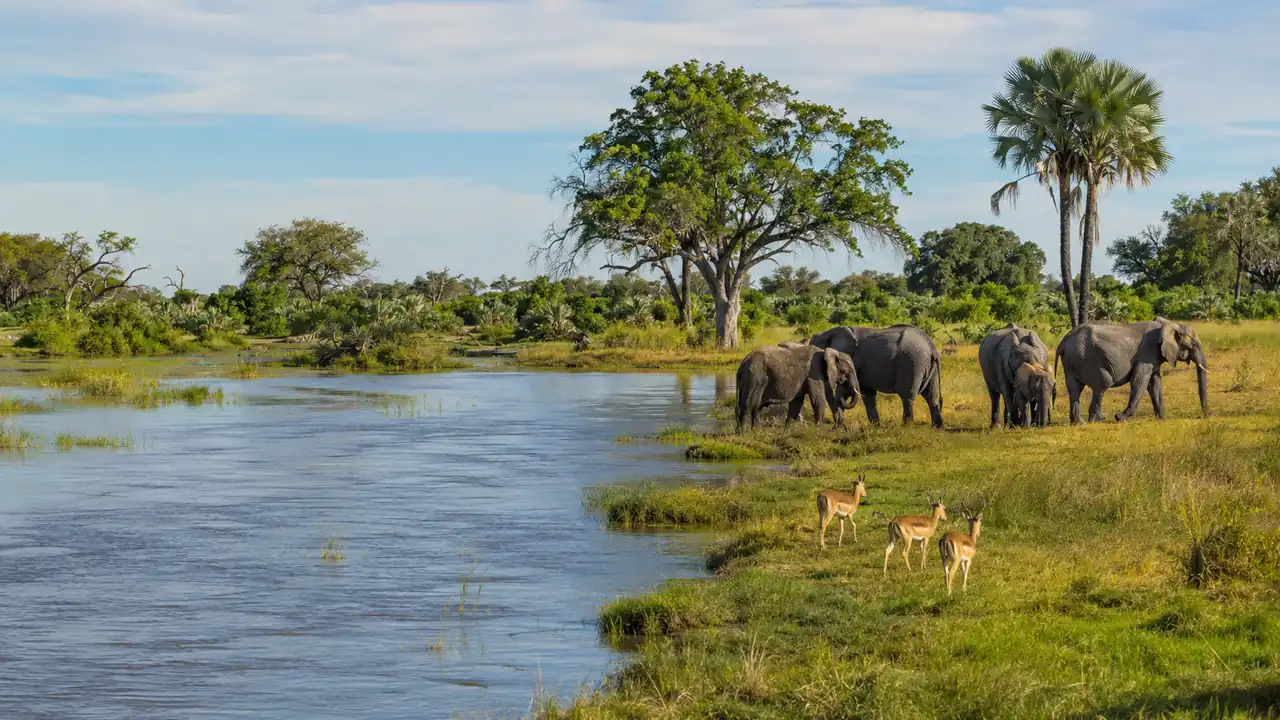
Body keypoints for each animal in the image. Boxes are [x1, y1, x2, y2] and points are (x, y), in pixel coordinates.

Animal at [809, 324, 943, 427]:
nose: (835, 423)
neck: (829, 332)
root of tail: (932, 346)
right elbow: (867, 394)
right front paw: (876, 427)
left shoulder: (851, 361)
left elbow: (844, 391)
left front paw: (839, 426)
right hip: (928, 367)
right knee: (932, 396)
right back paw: (937, 428)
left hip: (911, 363)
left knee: (907, 396)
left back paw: (906, 427)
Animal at [1054, 318, 1208, 424]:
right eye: (1193, 344)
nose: (1205, 416)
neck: (1169, 324)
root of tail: (1064, 340)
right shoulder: (1147, 353)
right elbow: (1140, 381)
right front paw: (1120, 418)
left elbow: (1155, 384)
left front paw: (1162, 419)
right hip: (1086, 358)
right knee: (1103, 383)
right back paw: (1098, 420)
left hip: (1073, 359)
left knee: (1074, 389)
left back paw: (1079, 423)